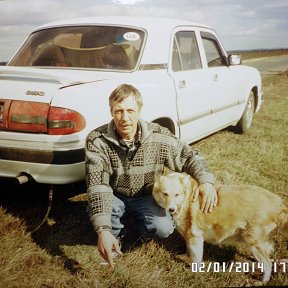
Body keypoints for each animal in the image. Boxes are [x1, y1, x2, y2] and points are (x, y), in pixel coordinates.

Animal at [152, 171, 286, 284]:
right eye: (165, 194)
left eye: (177, 194)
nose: (171, 209)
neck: (186, 199)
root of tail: (280, 204)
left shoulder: (195, 238)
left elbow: (196, 259)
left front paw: (195, 273)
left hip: (253, 242)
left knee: (268, 264)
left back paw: (263, 281)